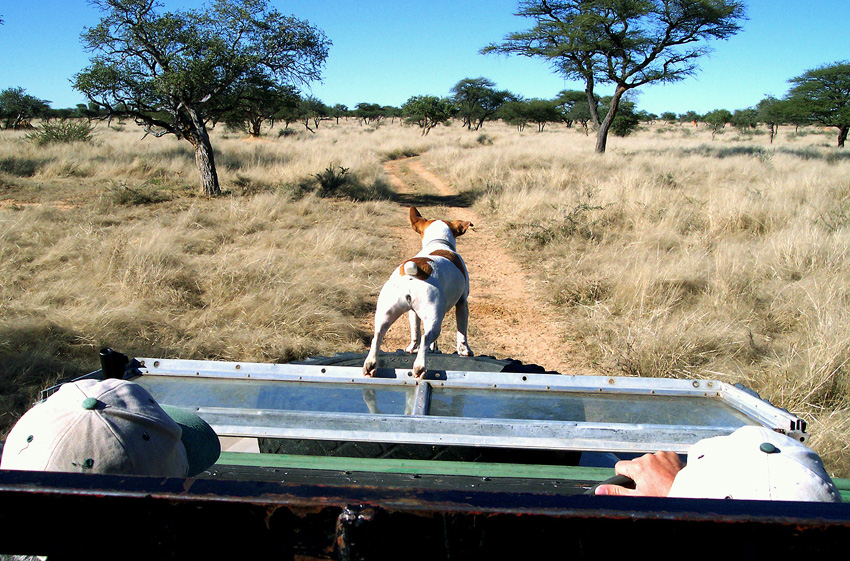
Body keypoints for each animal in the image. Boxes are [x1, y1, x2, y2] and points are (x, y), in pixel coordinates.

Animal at [362, 203, 474, 378]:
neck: (439, 243)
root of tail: (415, 273)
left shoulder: (412, 312)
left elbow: (415, 332)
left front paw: (411, 348)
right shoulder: (462, 303)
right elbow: (462, 332)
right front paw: (464, 350)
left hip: (385, 314)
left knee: (378, 336)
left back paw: (370, 364)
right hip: (434, 320)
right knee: (426, 340)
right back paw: (420, 367)